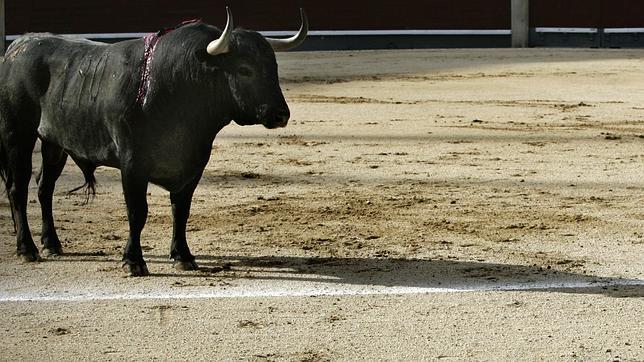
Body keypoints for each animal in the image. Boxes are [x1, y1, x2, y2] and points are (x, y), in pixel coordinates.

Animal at [0, 9, 310, 276]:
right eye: (245, 69)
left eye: (273, 67)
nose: (281, 114)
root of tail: (18, 47)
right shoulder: (132, 164)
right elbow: (138, 212)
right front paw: (133, 261)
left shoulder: (192, 165)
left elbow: (181, 210)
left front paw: (183, 256)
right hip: (18, 136)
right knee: (18, 189)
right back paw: (27, 248)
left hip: (54, 142)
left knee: (45, 188)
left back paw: (52, 244)